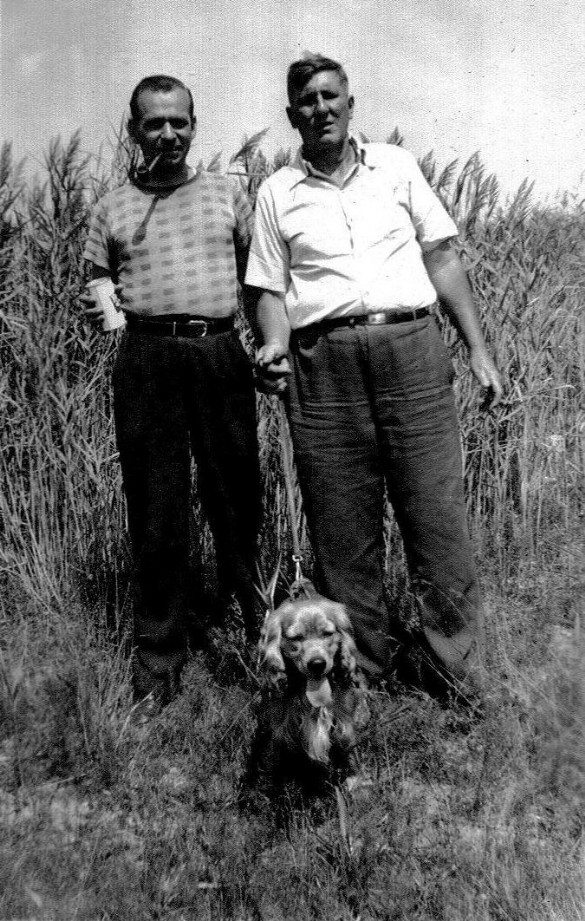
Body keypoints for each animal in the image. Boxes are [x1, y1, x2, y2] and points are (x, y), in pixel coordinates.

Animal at [243, 593, 370, 798]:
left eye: (327, 633)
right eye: (296, 638)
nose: (317, 664)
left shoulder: (344, 723)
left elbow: (350, 753)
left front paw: (359, 785)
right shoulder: (279, 730)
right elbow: (272, 763)